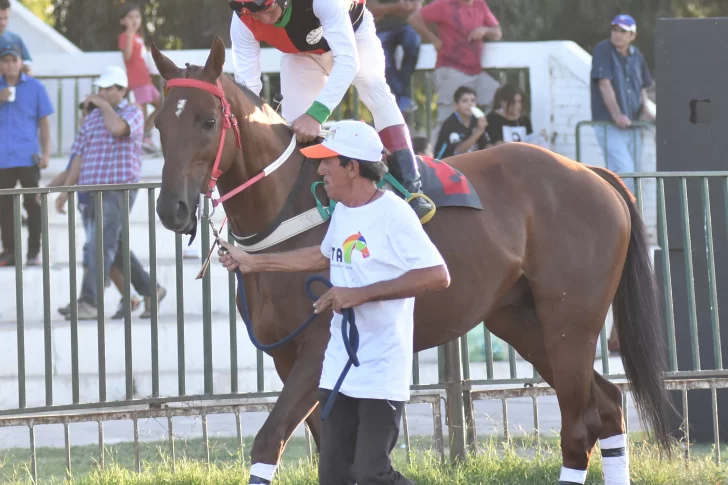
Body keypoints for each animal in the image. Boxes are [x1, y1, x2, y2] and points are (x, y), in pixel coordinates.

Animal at [151, 38, 672, 484]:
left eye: (207, 121)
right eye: (158, 123)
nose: (170, 208)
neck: (287, 208)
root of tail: (593, 173)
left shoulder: (319, 347)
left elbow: (268, 440)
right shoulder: (286, 357)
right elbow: (325, 451)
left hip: (571, 323)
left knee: (579, 427)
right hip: (521, 321)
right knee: (607, 406)